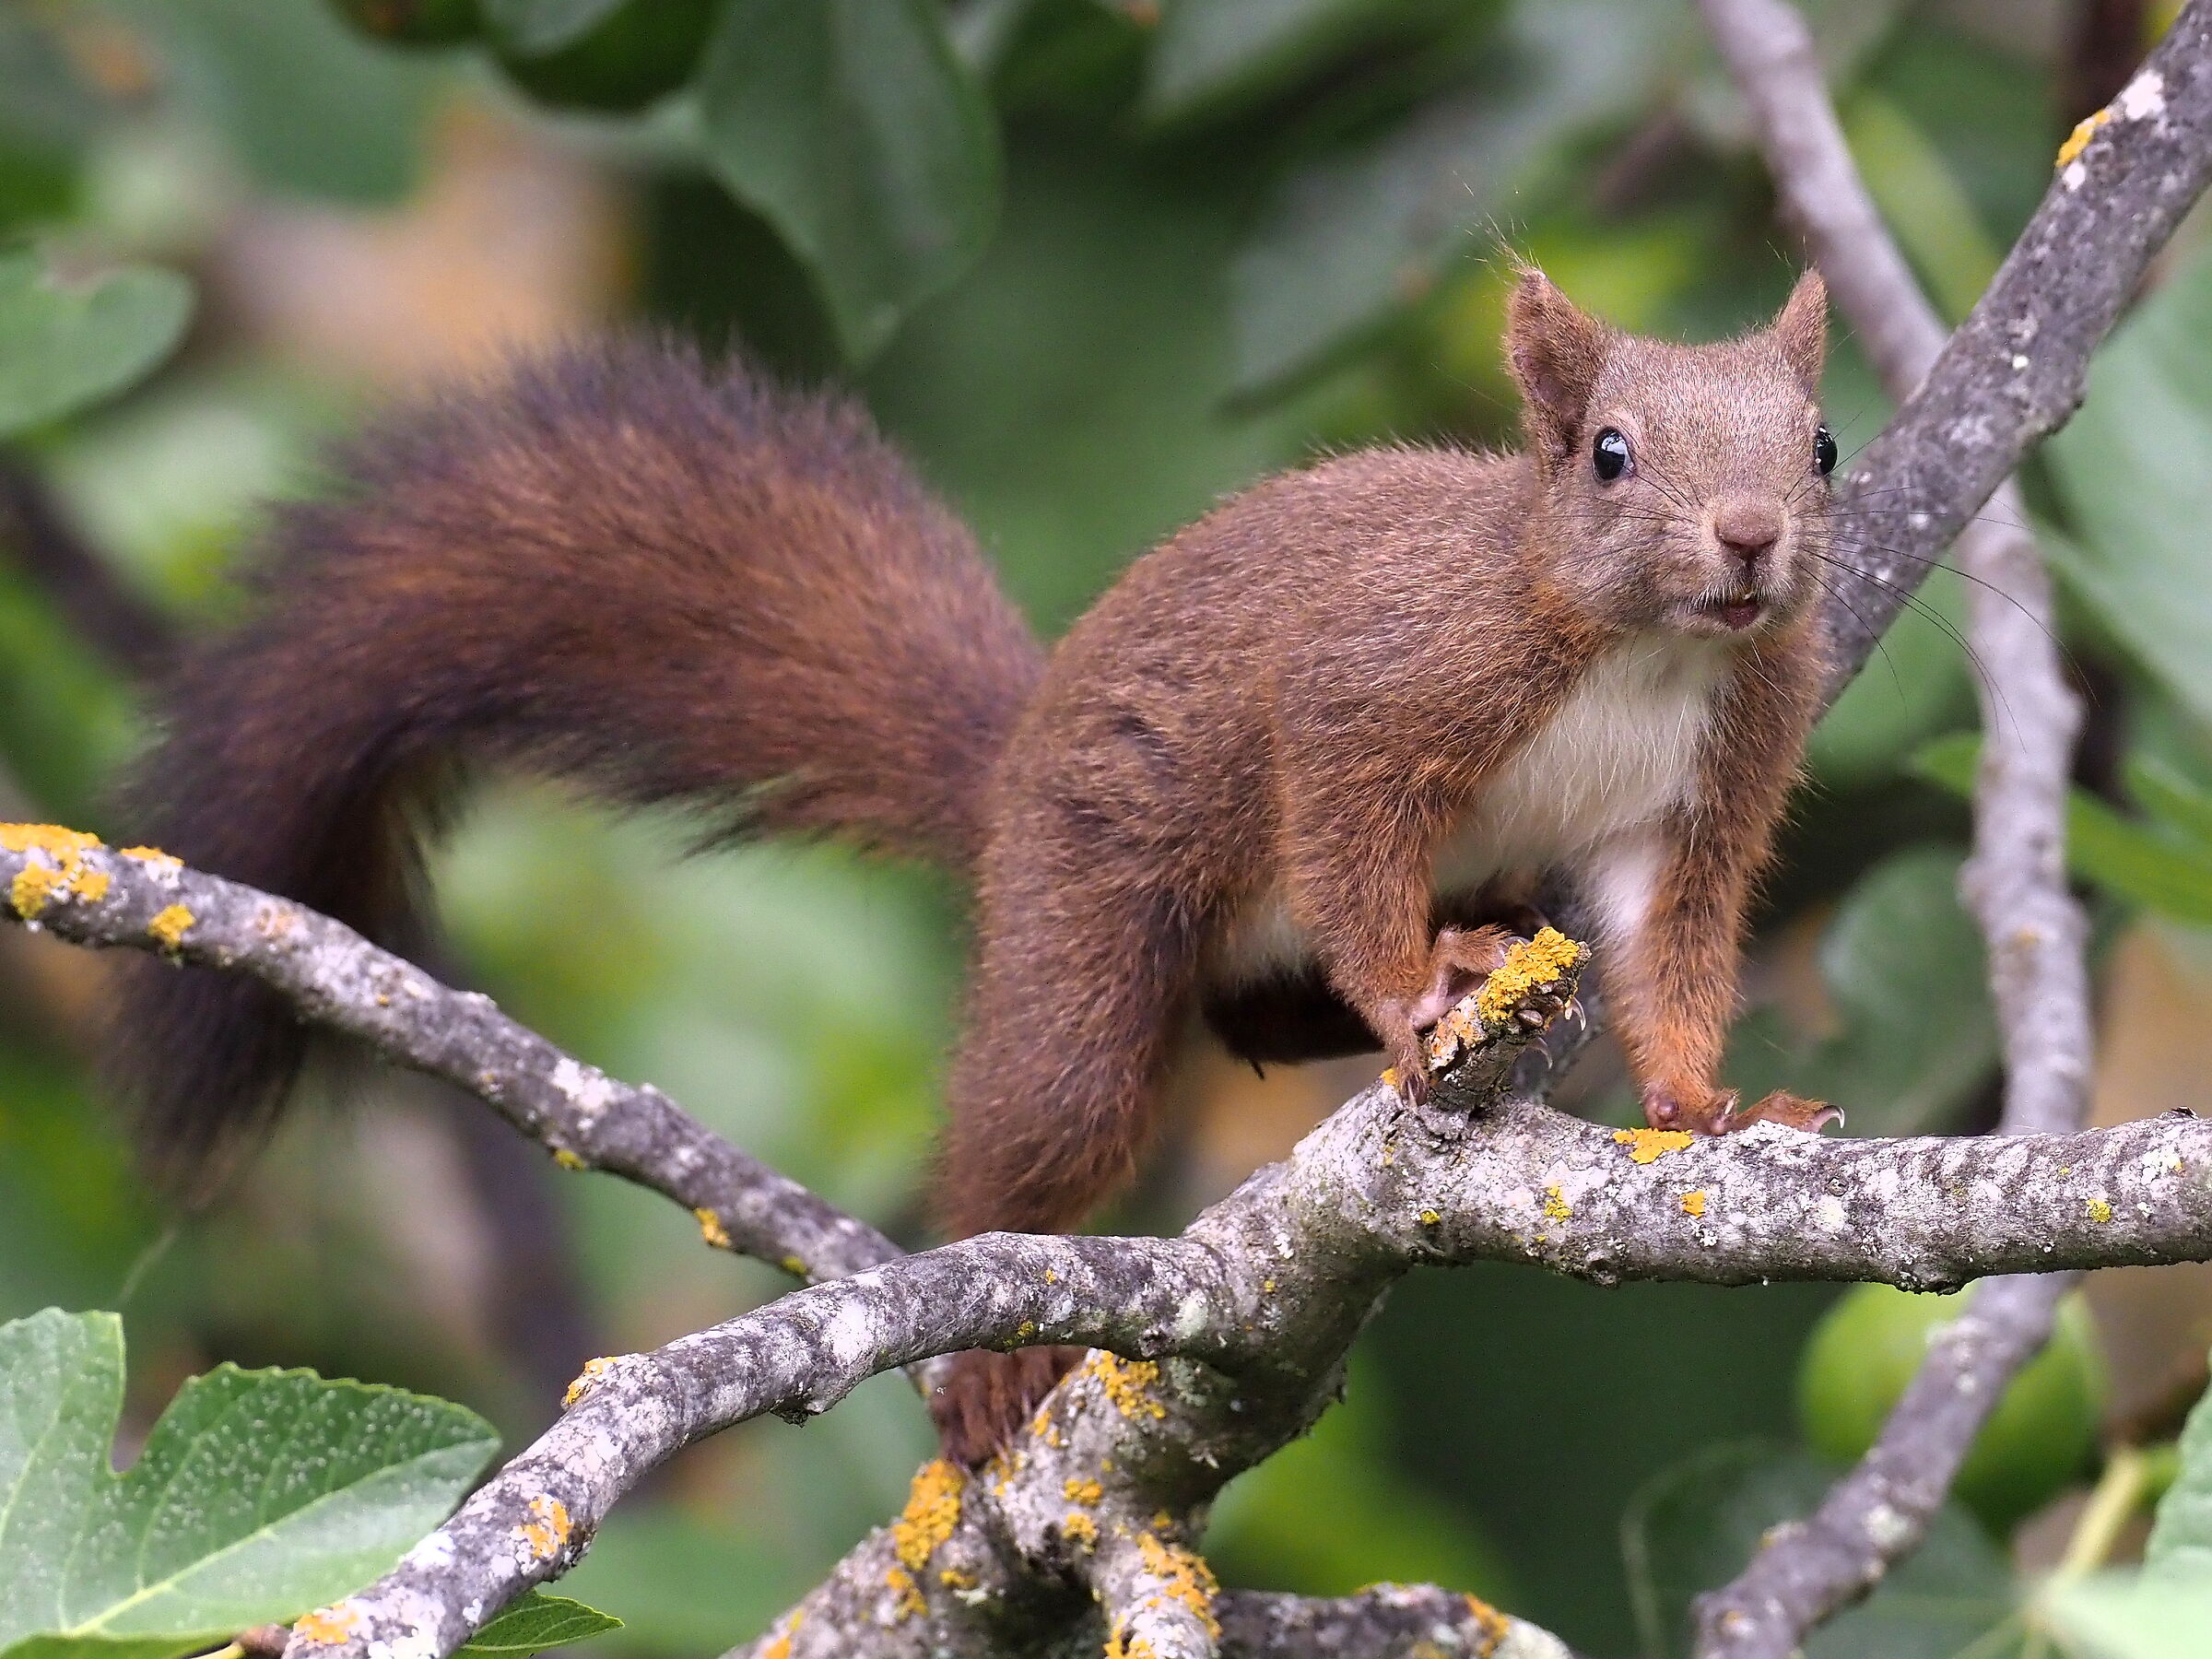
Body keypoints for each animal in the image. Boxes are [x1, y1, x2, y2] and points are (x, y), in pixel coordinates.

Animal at [112, 267, 1842, 1464]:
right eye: (1609, 454)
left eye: (1823, 446)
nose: (1753, 539)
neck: (1646, 653)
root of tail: (1007, 775)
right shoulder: (1381, 688)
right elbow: (1346, 832)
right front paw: (1423, 994)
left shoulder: (1711, 789)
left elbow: (1671, 952)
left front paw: (1705, 1106)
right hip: (1096, 909)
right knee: (1044, 1129)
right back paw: (993, 1365)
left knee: (1247, 1021)